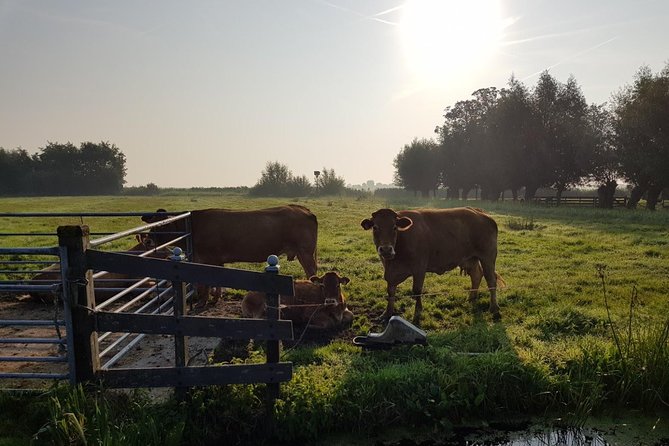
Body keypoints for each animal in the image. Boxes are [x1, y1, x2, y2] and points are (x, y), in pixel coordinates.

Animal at [142, 205, 318, 307]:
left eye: (162, 225)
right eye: (152, 222)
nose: (148, 240)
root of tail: (305, 210)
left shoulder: (207, 259)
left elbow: (206, 284)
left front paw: (203, 302)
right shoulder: (216, 260)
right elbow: (217, 281)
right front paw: (215, 298)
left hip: (305, 252)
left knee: (312, 272)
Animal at [361, 207, 503, 324]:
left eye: (394, 227)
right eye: (375, 227)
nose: (386, 249)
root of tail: (481, 213)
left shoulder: (419, 268)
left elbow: (416, 291)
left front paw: (417, 314)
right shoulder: (390, 272)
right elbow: (390, 292)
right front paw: (386, 314)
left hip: (487, 257)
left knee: (491, 280)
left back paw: (494, 308)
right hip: (471, 259)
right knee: (476, 276)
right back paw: (471, 298)